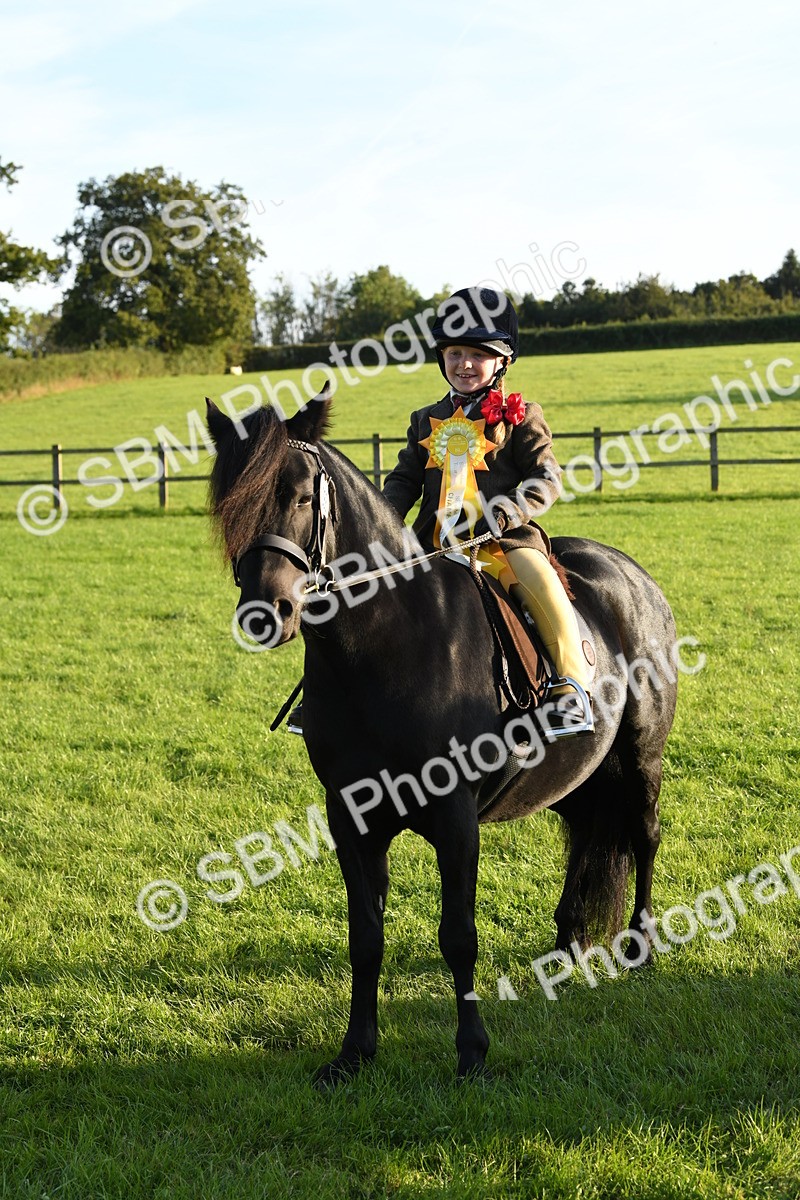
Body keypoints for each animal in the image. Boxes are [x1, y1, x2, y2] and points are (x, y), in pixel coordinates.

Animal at [206, 388, 678, 1087]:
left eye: (297, 495)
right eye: (229, 503)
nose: (268, 613)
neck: (386, 646)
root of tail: (631, 574)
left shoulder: (456, 818)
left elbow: (458, 935)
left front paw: (472, 1053)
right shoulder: (352, 817)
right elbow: (364, 936)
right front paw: (354, 1053)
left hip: (641, 757)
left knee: (643, 835)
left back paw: (642, 948)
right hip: (578, 773)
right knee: (583, 832)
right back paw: (567, 943)